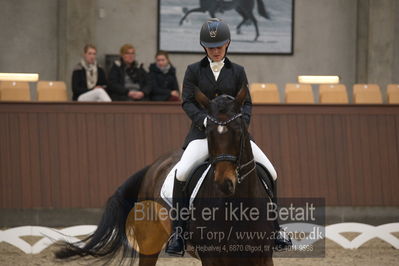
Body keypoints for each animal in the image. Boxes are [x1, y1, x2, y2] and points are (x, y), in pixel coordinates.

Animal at [55, 87, 276, 266]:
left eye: (239, 132)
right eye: (209, 133)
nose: (224, 183)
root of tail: (153, 166)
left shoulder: (262, 257)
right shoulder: (213, 258)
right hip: (149, 243)